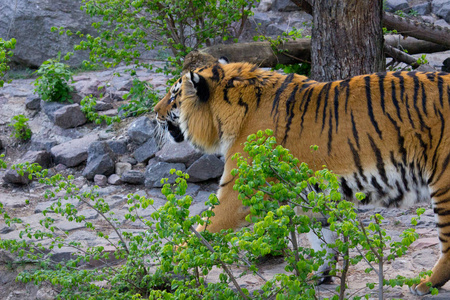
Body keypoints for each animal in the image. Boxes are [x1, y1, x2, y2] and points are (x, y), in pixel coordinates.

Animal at [154, 59, 450, 294]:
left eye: (173, 95)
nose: (154, 112)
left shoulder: (239, 193)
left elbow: (201, 231)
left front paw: (169, 262)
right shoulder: (319, 194)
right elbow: (323, 240)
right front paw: (317, 275)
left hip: (444, 184)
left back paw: (425, 284)